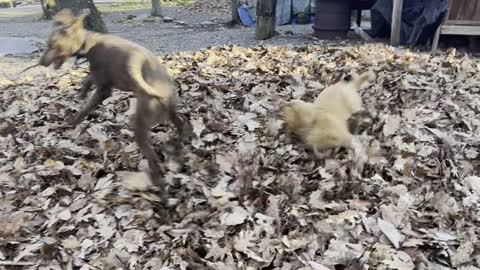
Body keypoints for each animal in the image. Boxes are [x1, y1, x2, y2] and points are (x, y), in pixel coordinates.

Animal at [38, 8, 188, 192]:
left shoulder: (104, 89)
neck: (89, 41)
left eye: (52, 45)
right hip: (171, 112)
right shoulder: (99, 78)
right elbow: (87, 80)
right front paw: (81, 93)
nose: (40, 62)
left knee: (153, 158)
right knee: (180, 123)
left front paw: (72, 121)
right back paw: (182, 142)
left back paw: (157, 181)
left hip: (140, 123)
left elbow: (85, 108)